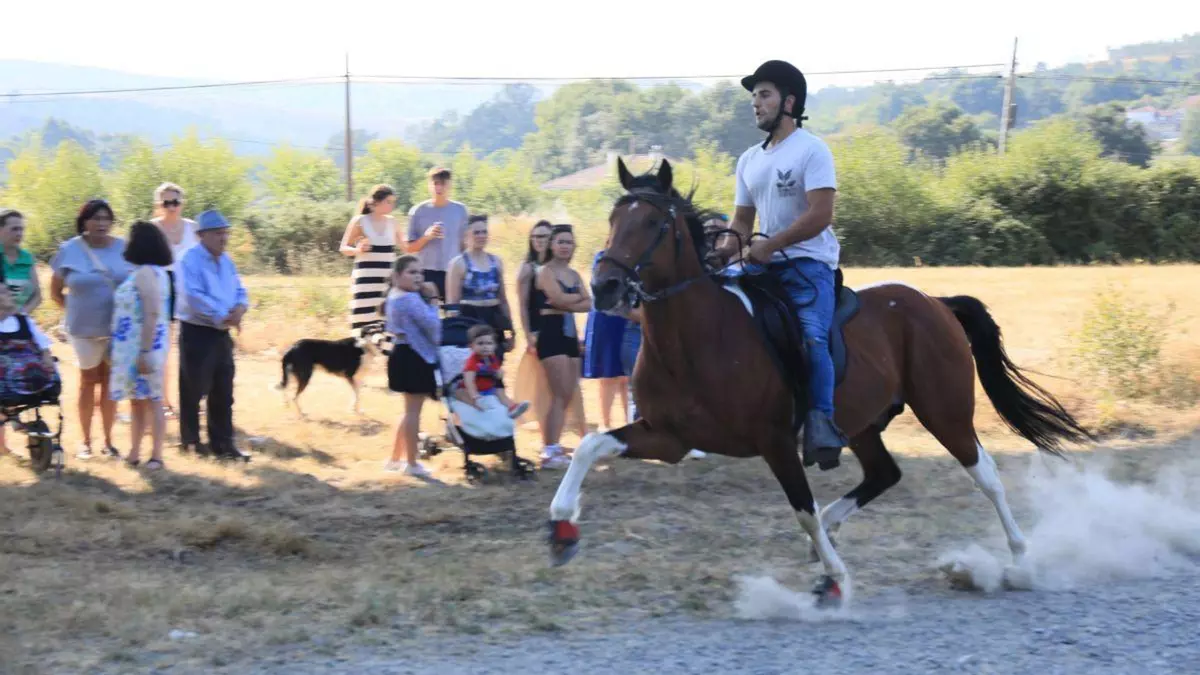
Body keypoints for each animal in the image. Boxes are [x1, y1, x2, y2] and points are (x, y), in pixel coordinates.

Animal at [545, 157, 1092, 607]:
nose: (604, 287)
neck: (695, 339)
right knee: (884, 473)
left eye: (654, 223)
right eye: (614, 221)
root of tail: (935, 303)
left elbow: (801, 507)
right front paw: (562, 527)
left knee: (986, 476)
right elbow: (591, 444)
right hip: (863, 422)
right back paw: (833, 532)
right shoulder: (670, 437)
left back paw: (1020, 561)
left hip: (944, 410)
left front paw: (835, 581)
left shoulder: (775, 441)